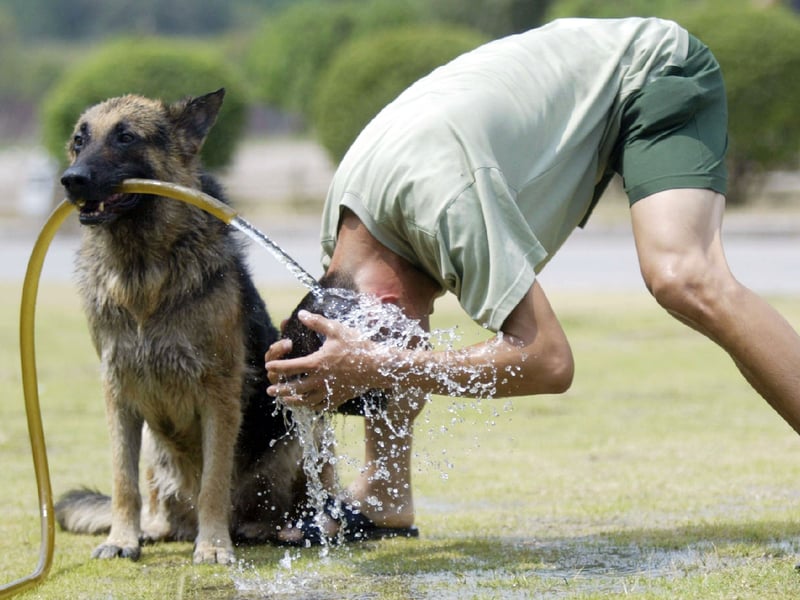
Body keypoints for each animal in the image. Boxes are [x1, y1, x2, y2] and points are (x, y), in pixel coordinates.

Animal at [54, 88, 310, 564]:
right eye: (80, 140)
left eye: (125, 138)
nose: (71, 180)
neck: (142, 271)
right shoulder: (117, 392)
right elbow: (123, 481)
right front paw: (122, 539)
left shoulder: (219, 394)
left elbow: (213, 482)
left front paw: (213, 546)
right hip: (156, 454)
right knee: (157, 503)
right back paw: (154, 530)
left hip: (300, 428)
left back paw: (273, 529)